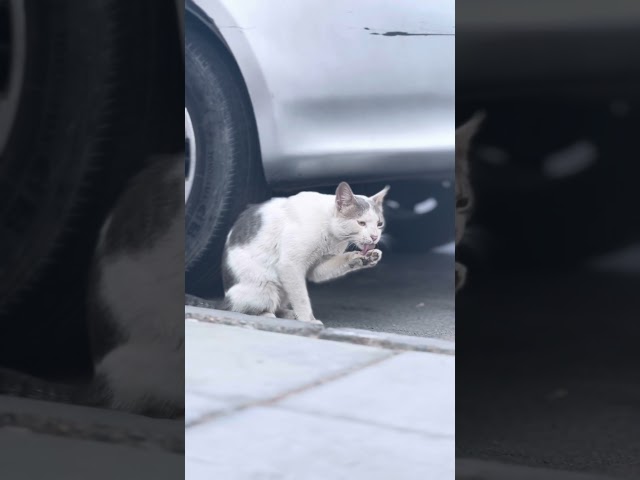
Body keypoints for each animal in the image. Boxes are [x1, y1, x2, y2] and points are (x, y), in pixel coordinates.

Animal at [220, 182, 390, 324]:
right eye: (361, 223)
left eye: (379, 224)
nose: (375, 236)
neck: (331, 236)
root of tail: (224, 298)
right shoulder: (290, 265)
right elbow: (302, 298)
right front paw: (308, 320)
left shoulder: (317, 267)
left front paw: (363, 258)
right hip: (264, 288)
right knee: (242, 308)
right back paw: (268, 315)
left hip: (282, 290)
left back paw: (289, 314)